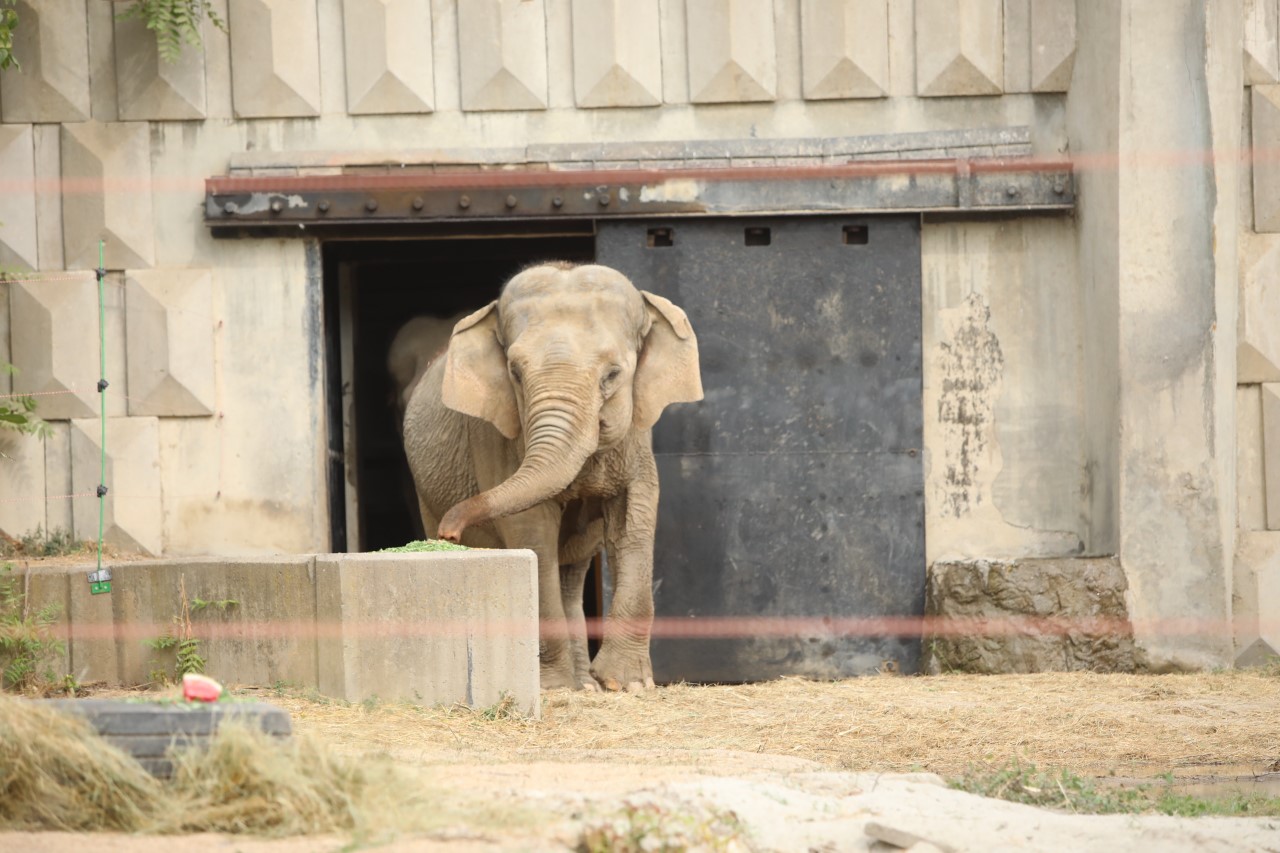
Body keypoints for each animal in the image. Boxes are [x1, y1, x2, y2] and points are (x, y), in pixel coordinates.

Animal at [399, 261, 701, 691]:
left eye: (613, 375)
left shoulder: (637, 436)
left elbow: (633, 519)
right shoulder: (498, 435)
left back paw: (586, 684)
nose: (450, 532)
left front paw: (626, 686)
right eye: (515, 373)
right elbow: (532, 533)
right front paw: (554, 688)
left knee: (572, 573)